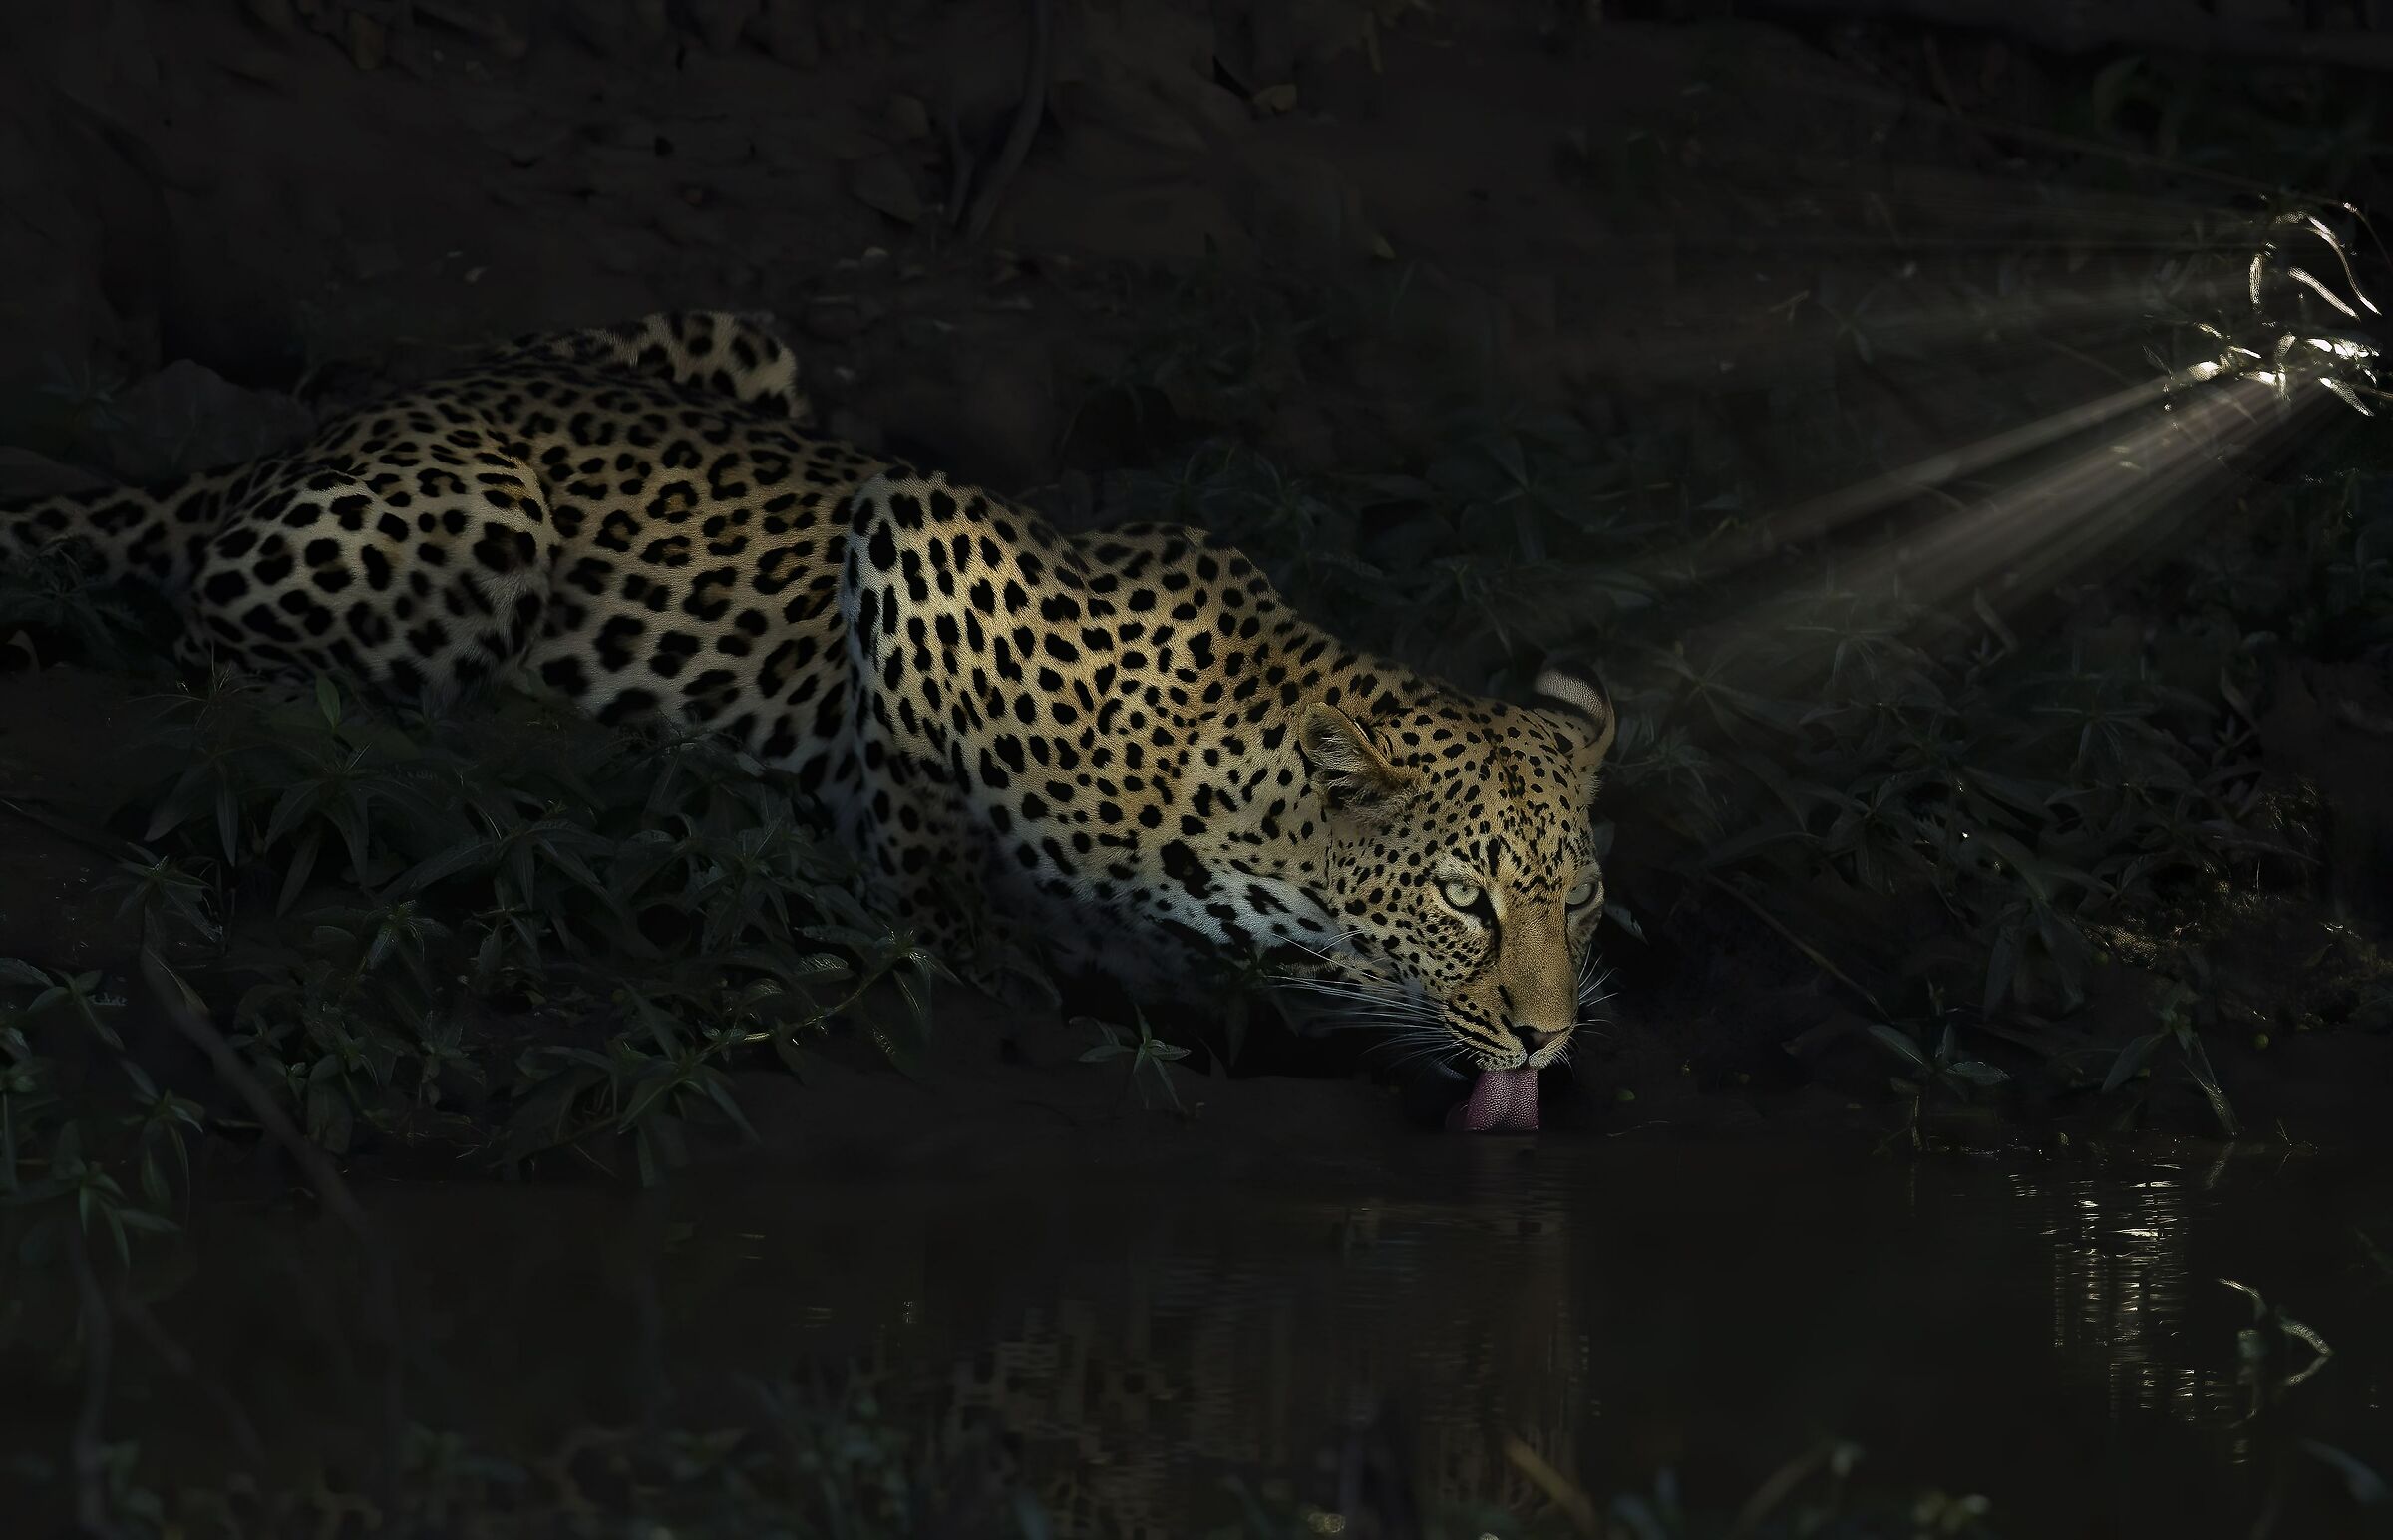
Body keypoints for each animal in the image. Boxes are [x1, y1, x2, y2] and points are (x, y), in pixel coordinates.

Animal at [0, 310, 1619, 1087]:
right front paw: (985, 947)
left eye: (1583, 899)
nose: (1551, 1040)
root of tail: (324, 429)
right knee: (236, 669)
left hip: (742, 343)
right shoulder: (919, 537)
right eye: (1467, 899)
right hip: (470, 525)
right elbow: (918, 799)